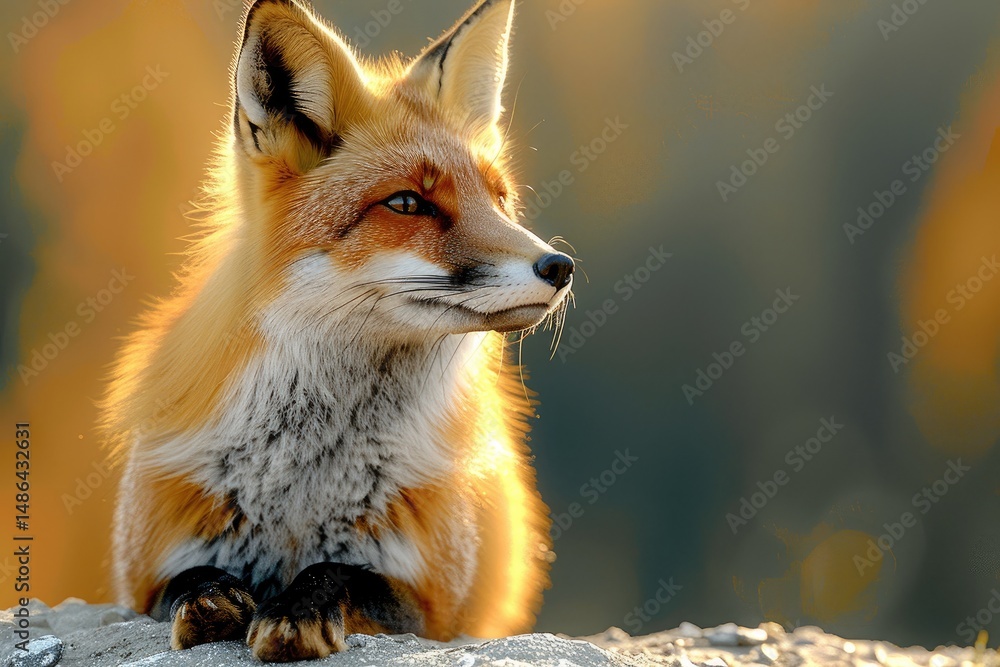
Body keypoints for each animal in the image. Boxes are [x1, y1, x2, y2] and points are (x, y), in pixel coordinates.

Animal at [101, 0, 573, 662]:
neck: (305, 472)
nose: (560, 267)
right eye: (407, 204)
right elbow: (190, 579)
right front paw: (214, 599)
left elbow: (340, 573)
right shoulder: (142, 572)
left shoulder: (430, 599)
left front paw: (295, 611)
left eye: (500, 201)